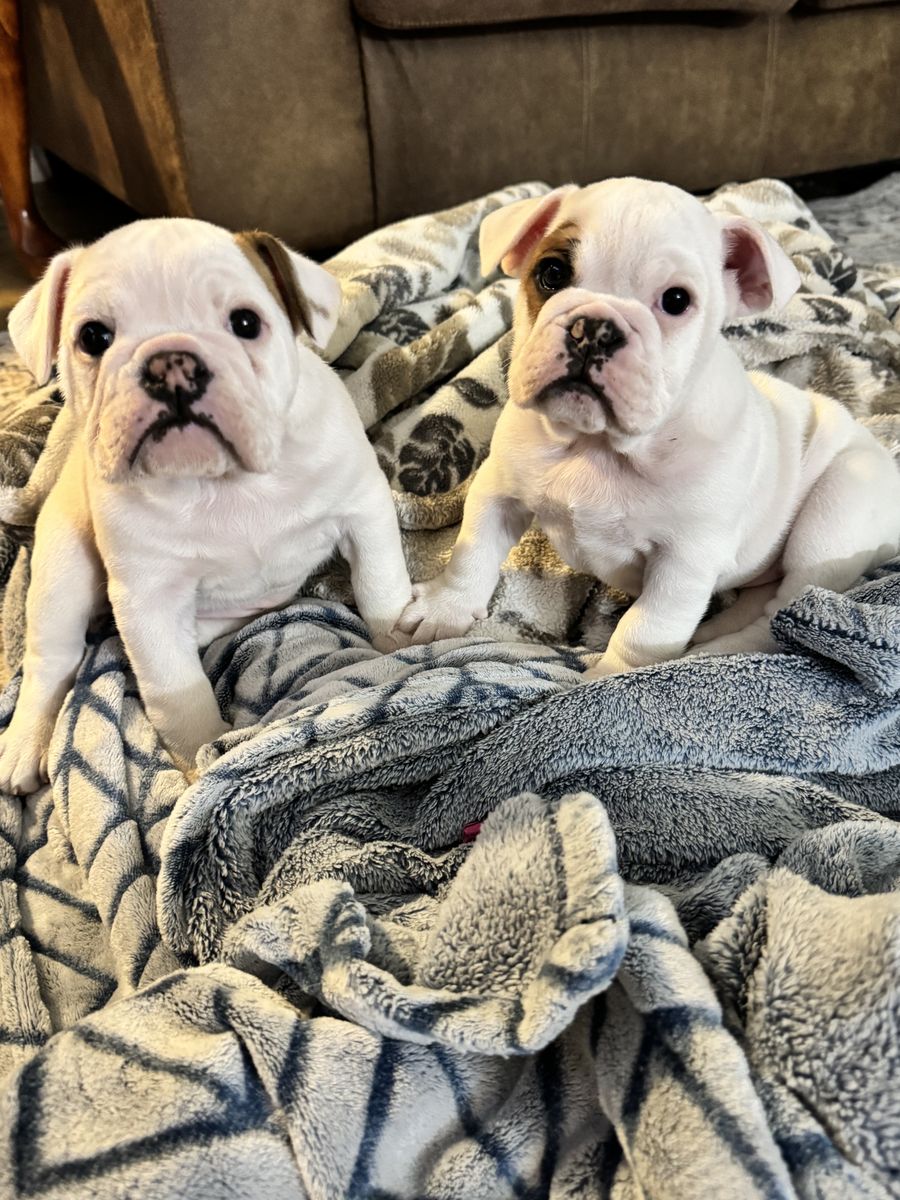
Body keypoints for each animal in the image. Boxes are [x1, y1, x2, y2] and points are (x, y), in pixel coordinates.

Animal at [0, 217, 412, 793]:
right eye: (93, 338)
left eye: (246, 322)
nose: (170, 362)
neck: (222, 482)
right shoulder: (148, 599)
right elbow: (177, 692)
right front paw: (203, 759)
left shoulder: (363, 510)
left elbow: (380, 583)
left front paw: (399, 642)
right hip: (63, 569)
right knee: (51, 659)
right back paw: (24, 743)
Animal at [396, 178, 900, 676]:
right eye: (551, 273)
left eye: (676, 300)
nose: (594, 328)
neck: (597, 445)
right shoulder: (498, 489)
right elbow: (472, 551)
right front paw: (444, 609)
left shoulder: (684, 562)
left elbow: (646, 626)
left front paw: (609, 681)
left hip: (834, 513)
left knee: (787, 612)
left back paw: (716, 651)